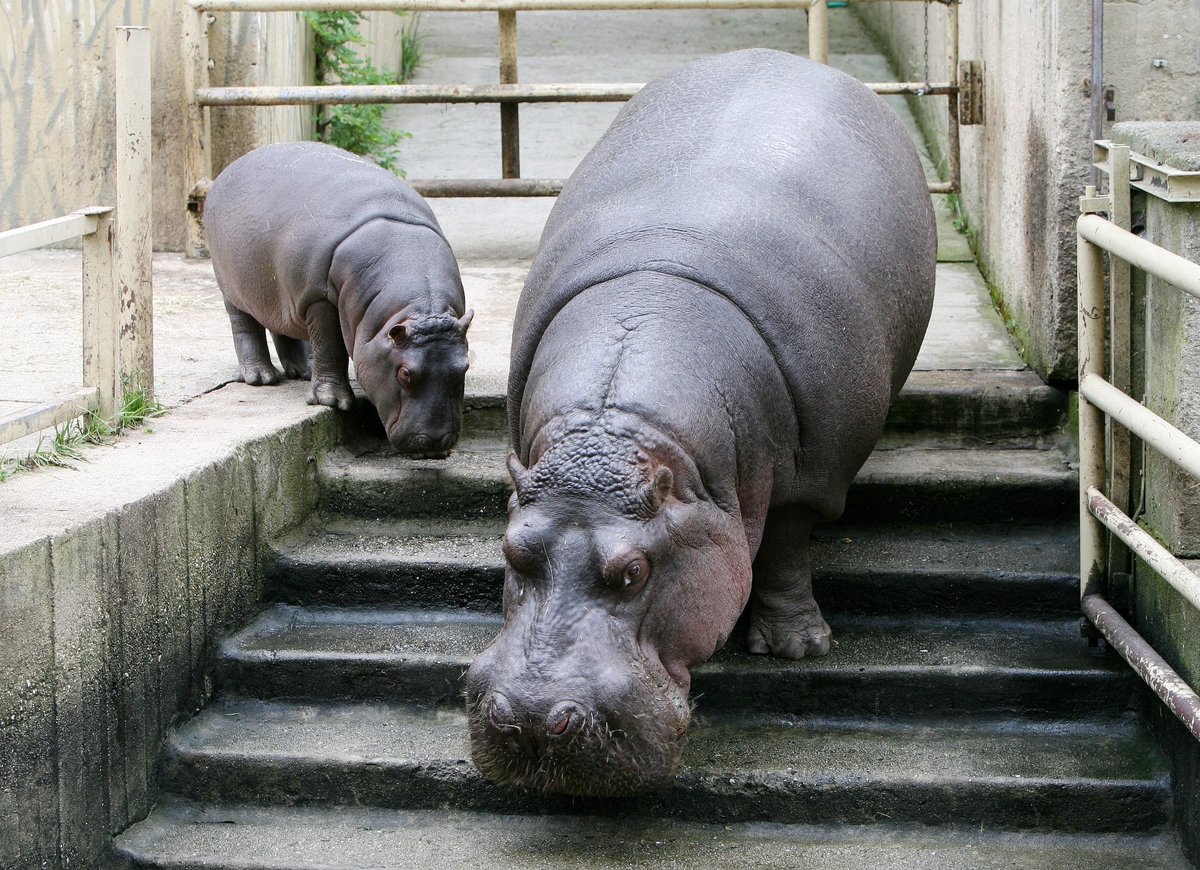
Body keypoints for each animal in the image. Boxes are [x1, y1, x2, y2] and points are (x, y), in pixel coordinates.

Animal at [204, 139, 470, 458]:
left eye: (464, 368)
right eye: (405, 373)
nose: (435, 442)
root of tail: (231, 167)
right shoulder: (319, 299)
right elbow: (330, 346)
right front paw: (332, 401)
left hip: (283, 291)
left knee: (284, 326)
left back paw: (305, 371)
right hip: (233, 287)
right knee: (245, 326)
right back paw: (261, 377)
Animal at [463, 49, 931, 792]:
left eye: (633, 572)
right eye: (512, 550)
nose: (534, 719)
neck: (616, 433)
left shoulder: (809, 481)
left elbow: (785, 548)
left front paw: (797, 650)